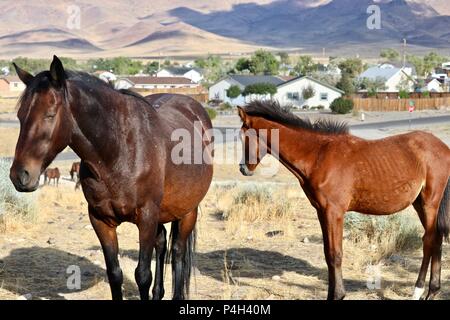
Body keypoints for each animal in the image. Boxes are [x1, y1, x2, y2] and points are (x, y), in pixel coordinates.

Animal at [9, 55, 214, 300]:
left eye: (50, 114)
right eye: (20, 116)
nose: (20, 175)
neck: (119, 151)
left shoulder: (146, 217)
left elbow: (143, 274)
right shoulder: (100, 220)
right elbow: (114, 274)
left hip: (187, 211)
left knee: (178, 252)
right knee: (162, 242)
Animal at [237, 100, 448, 300]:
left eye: (244, 137)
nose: (243, 169)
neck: (318, 155)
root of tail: (443, 147)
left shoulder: (334, 212)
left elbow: (335, 254)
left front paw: (338, 294)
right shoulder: (322, 211)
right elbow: (327, 253)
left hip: (430, 203)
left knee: (429, 239)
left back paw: (418, 291)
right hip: (419, 203)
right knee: (436, 238)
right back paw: (433, 291)